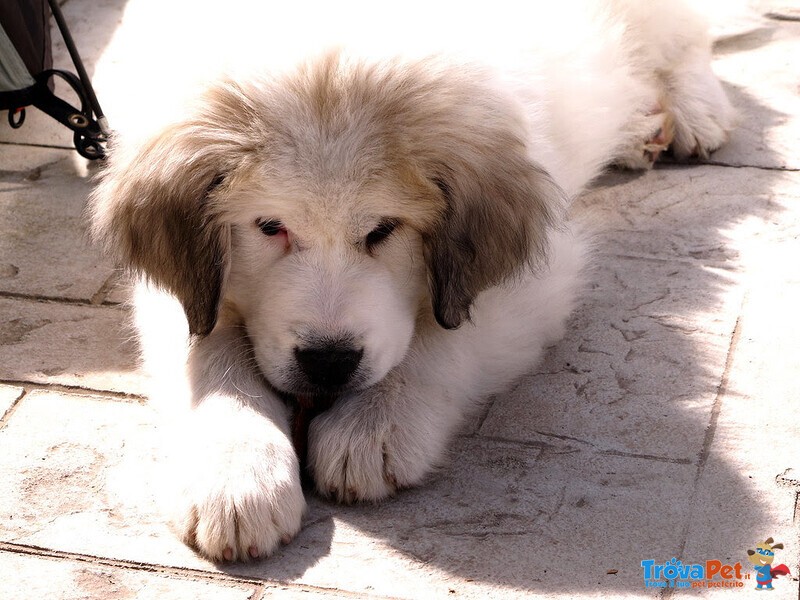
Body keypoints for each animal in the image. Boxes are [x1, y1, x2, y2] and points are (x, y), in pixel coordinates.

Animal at [87, 0, 732, 564]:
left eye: (384, 229)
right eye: (271, 227)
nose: (328, 362)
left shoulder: (539, 275)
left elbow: (446, 335)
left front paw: (373, 426)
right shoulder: (188, 286)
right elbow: (209, 355)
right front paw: (234, 473)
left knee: (688, 39)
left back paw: (693, 113)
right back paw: (641, 126)